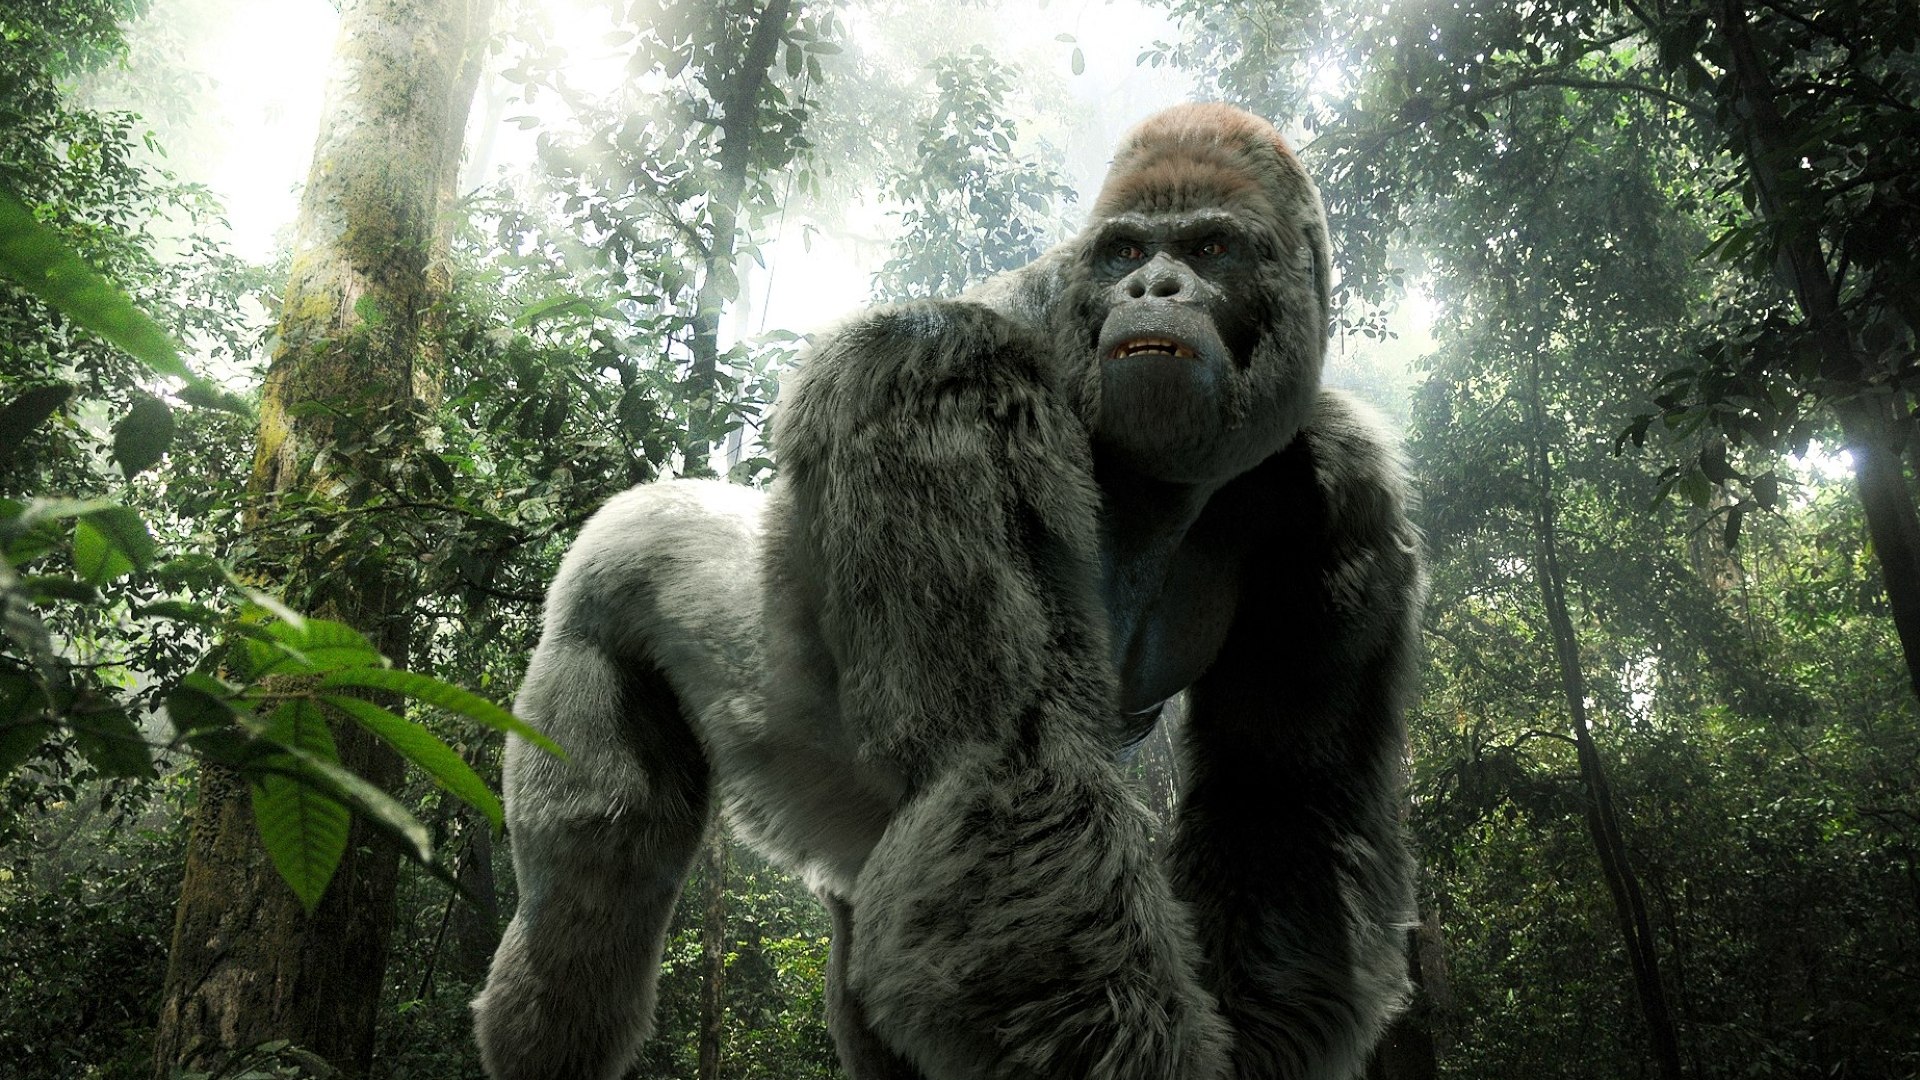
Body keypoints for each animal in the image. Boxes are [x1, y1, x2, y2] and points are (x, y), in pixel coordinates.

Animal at [472, 103, 1425, 1080]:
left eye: (1210, 247)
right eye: (1125, 251)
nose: (1154, 286)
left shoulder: (1344, 489)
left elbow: (1283, 804)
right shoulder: (936, 369)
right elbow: (1003, 764)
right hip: (622, 591)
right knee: (600, 864)